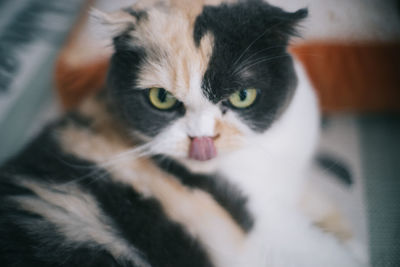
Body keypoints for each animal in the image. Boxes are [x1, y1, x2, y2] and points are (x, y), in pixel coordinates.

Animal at [0, 0, 362, 267]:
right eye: (161, 98)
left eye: (242, 96)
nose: (202, 139)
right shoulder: (269, 230)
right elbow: (327, 252)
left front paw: (346, 230)